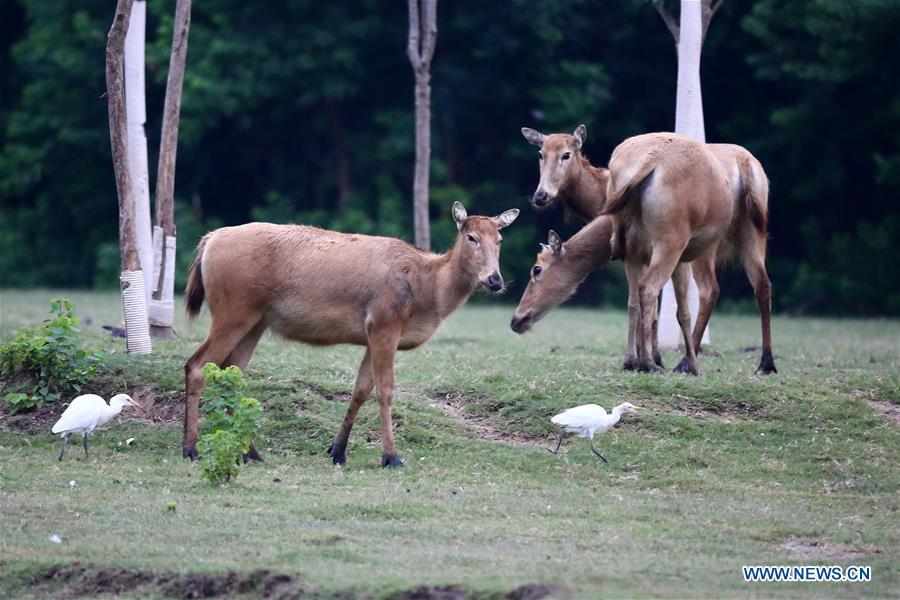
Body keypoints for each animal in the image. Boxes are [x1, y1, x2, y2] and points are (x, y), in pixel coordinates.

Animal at [180, 204, 520, 466]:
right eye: (471, 237)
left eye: (500, 239)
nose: (495, 280)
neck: (428, 294)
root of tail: (208, 241)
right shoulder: (385, 322)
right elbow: (385, 390)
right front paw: (391, 456)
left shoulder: (373, 334)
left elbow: (360, 390)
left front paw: (337, 451)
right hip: (233, 310)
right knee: (196, 365)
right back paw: (191, 448)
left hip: (256, 320)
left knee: (231, 372)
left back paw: (250, 452)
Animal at [510, 131, 776, 376]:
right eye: (540, 153)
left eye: (537, 269)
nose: (516, 320)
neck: (595, 202)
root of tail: (745, 164)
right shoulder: (635, 253)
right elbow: (641, 304)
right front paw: (645, 358)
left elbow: (657, 307)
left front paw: (652, 358)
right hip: (752, 232)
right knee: (761, 284)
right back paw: (766, 363)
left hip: (698, 246)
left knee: (708, 290)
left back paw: (683, 362)